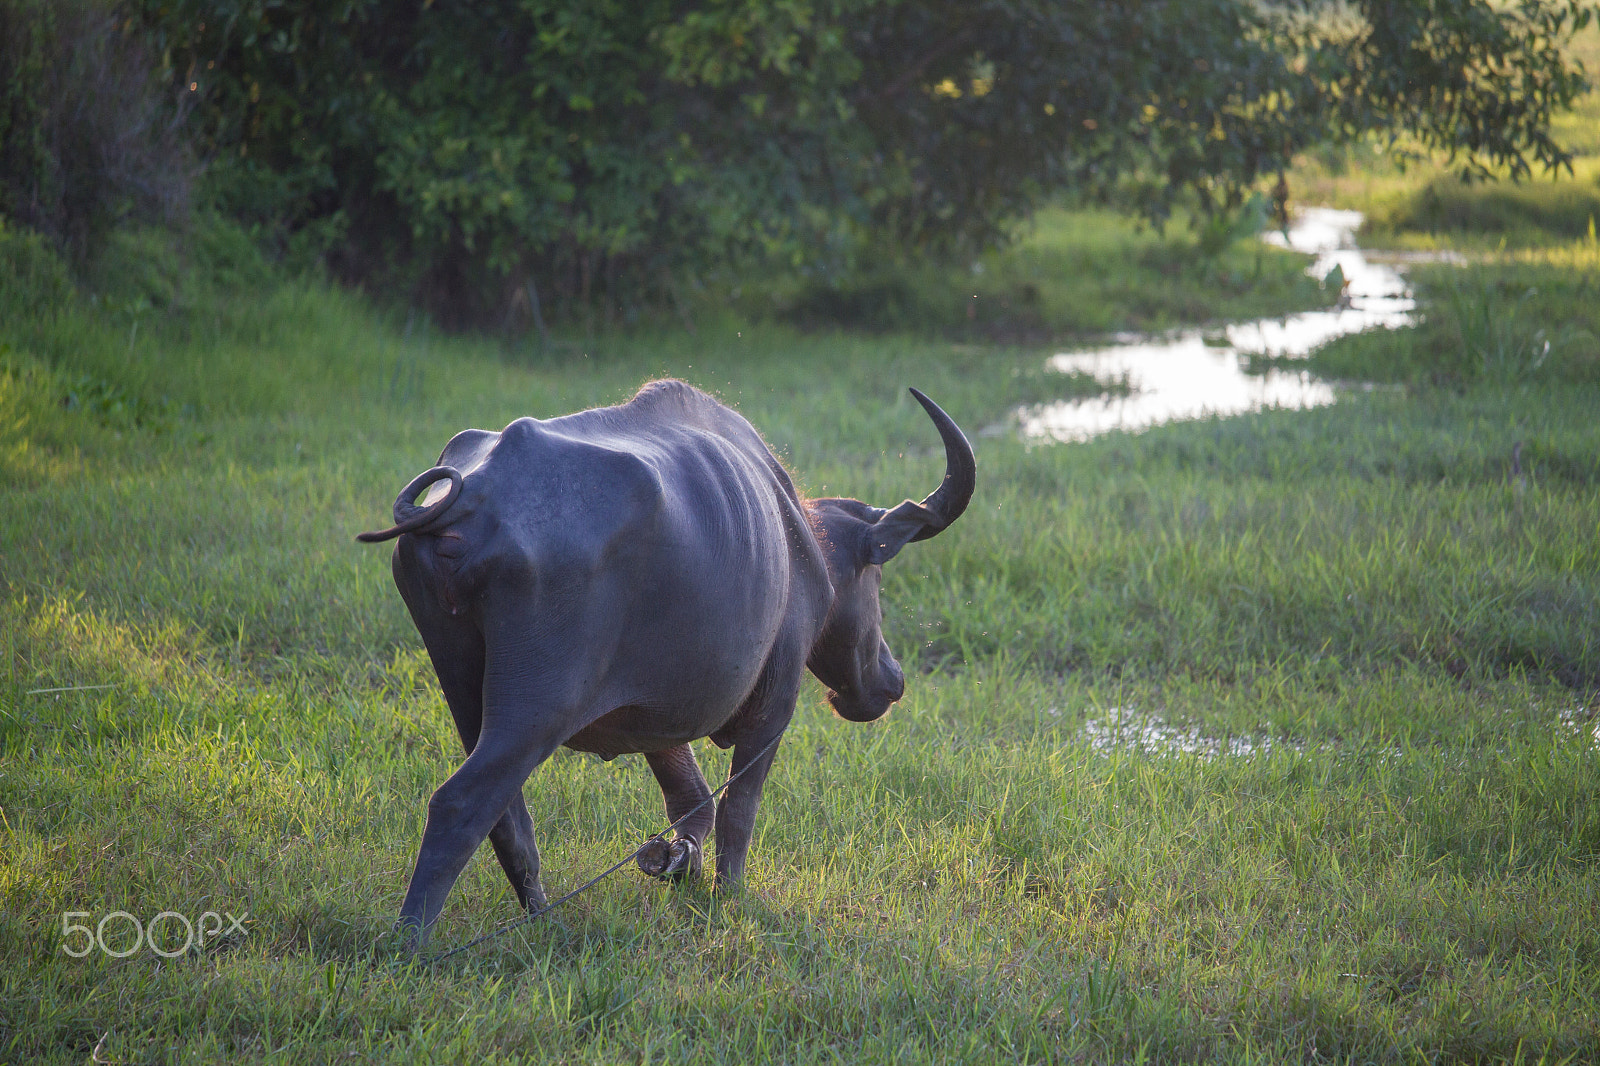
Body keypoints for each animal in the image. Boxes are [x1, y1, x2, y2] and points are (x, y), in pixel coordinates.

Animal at [358, 379, 974, 947]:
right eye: (877, 575)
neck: (797, 542)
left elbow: (690, 799)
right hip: (535, 710)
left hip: (461, 681)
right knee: (462, 803)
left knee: (508, 819)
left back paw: (543, 920)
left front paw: (677, 863)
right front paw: (729, 897)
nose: (893, 680)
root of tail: (473, 498)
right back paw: (411, 943)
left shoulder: (654, 713)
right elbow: (737, 813)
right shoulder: (774, 709)